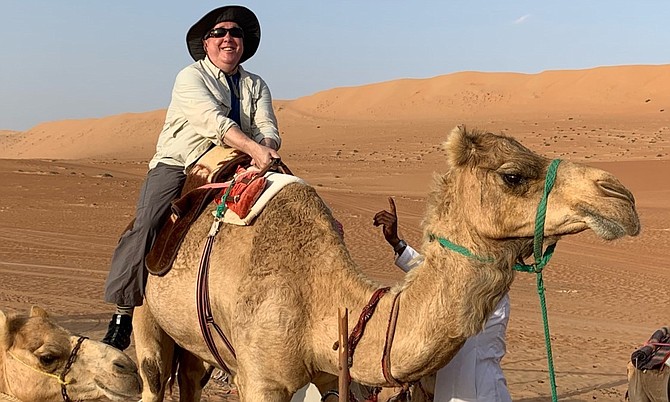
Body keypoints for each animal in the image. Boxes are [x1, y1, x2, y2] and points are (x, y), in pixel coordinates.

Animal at [134, 124, 644, 400]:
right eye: (513, 175)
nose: (622, 197)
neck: (319, 297)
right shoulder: (261, 378)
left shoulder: (330, 373)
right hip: (145, 311)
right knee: (153, 377)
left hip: (195, 342)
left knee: (191, 378)